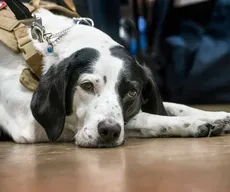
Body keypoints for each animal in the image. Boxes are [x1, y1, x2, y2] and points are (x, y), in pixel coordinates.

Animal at [0, 8, 230, 148]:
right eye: (86, 86)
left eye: (132, 92)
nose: (109, 131)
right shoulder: (30, 125)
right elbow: (143, 117)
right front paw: (193, 123)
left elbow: (173, 105)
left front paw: (217, 115)